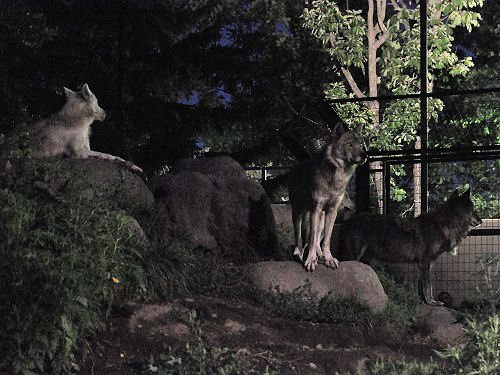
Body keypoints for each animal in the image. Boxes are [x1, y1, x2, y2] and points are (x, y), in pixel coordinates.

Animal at [290, 123, 368, 274]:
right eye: (350, 144)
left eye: (361, 145)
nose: (365, 155)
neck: (337, 177)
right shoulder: (316, 210)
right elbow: (311, 239)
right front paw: (310, 261)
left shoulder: (332, 212)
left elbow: (326, 240)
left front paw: (329, 259)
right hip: (299, 213)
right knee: (300, 237)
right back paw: (299, 255)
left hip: (320, 218)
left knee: (316, 238)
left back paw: (319, 256)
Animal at [338, 189, 482, 306]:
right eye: (473, 210)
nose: (481, 221)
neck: (443, 224)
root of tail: (348, 221)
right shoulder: (425, 262)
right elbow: (429, 286)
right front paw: (432, 302)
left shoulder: (424, 265)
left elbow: (422, 286)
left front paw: (423, 301)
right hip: (354, 256)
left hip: (365, 259)